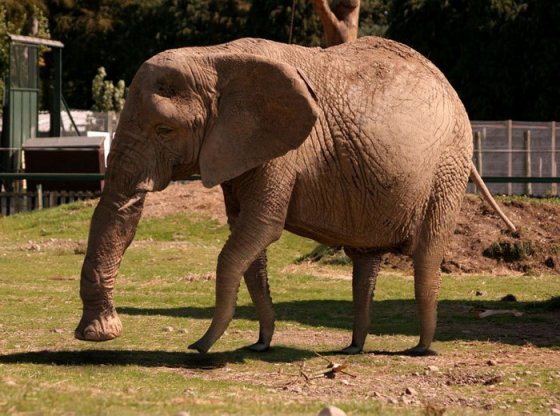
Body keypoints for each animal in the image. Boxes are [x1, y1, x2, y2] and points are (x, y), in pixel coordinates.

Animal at [74, 35, 516, 354]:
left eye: (165, 129)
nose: (101, 333)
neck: (214, 58)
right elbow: (249, 245)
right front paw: (259, 345)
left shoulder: (283, 152)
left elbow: (257, 232)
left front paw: (200, 347)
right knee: (365, 262)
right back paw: (353, 348)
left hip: (447, 165)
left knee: (426, 254)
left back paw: (421, 350)